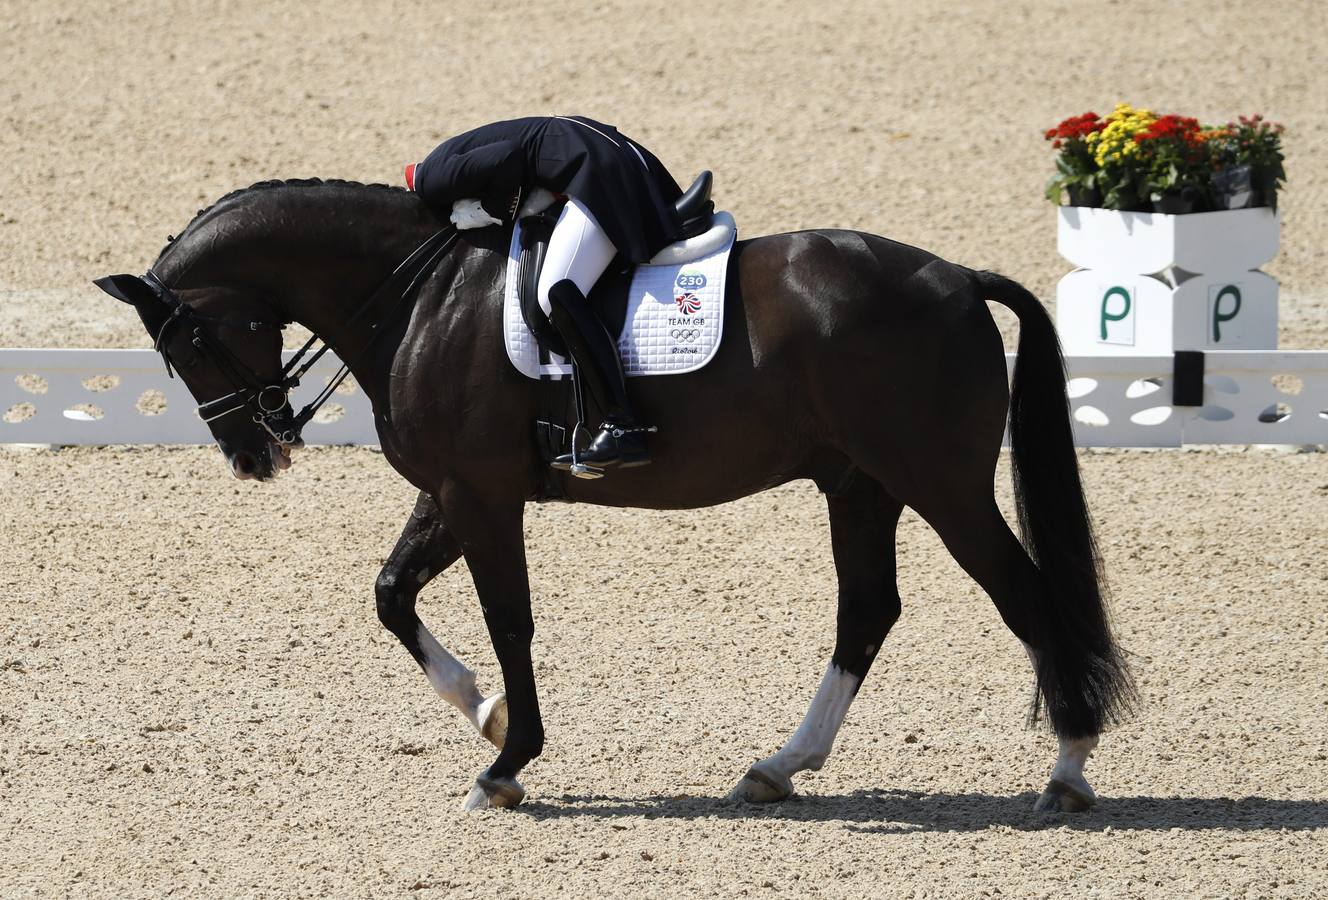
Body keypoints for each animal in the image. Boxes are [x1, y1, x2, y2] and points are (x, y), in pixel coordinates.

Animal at [96, 179, 1131, 812]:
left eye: (188, 342)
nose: (254, 455)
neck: (420, 299)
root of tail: (957, 279)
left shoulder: (480, 496)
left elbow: (509, 620)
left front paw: (505, 764)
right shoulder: (454, 490)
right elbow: (392, 596)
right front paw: (489, 716)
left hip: (939, 484)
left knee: (1024, 596)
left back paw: (1070, 770)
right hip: (861, 486)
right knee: (868, 611)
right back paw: (779, 766)